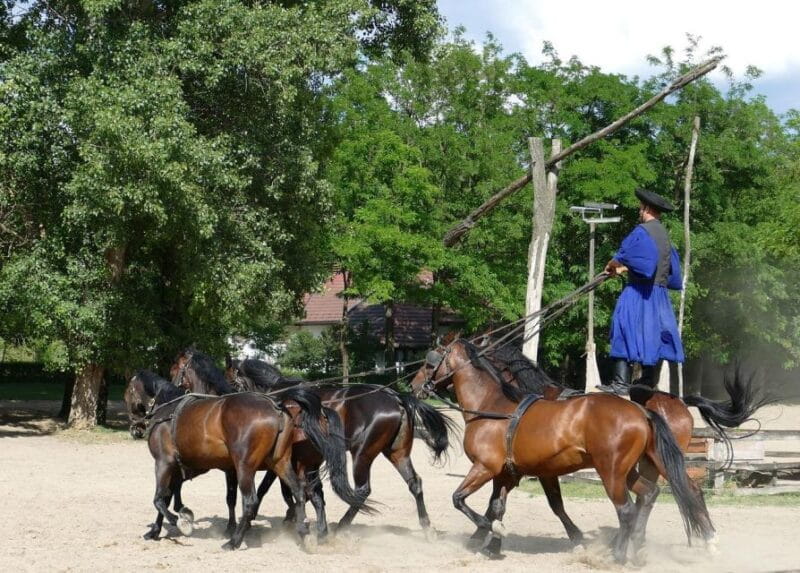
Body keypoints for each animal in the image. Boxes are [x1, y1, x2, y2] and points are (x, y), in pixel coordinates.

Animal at [143, 386, 367, 550]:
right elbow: (168, 497)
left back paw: (234, 542)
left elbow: (159, 499)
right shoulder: (180, 468)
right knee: (303, 494)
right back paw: (306, 532)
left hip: (250, 467)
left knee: (254, 501)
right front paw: (157, 530)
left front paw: (181, 521)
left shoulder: (164, 463)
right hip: (283, 464)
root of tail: (276, 407)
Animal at [224, 358, 458, 541]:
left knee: (362, 490)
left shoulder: (280, 458)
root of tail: (396, 397)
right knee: (414, 483)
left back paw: (342, 526)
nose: (227, 401)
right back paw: (427, 528)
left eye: (231, 381)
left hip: (362, 454)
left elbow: (268, 488)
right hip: (397, 453)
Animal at [410, 338, 715, 564]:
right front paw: (492, 546)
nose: (413, 386)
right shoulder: (508, 473)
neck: (492, 406)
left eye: (429, 362)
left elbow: (459, 499)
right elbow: (499, 506)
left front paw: (488, 532)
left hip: (613, 472)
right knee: (650, 495)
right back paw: (638, 549)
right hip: (632, 470)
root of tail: (643, 411)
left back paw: (618, 555)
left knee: (629, 508)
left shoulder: (485, 468)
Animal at [481, 341, 765, 546]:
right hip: (649, 462)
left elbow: (549, 502)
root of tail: (679, 401)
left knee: (681, 492)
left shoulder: (539, 469)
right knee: (652, 495)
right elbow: (501, 498)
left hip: (657, 462)